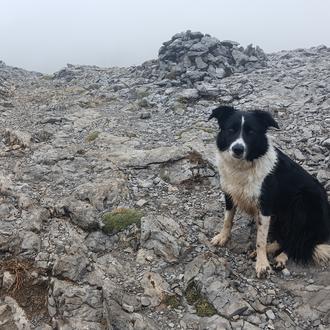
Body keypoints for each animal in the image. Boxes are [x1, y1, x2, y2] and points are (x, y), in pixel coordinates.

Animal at [209, 104, 330, 278]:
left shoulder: (265, 207)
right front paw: (223, 237)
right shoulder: (229, 194)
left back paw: (280, 257)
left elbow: (260, 239)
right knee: (286, 238)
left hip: (302, 203)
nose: (238, 149)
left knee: (297, 240)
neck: (243, 167)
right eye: (231, 130)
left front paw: (262, 264)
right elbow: (227, 219)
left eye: (251, 132)